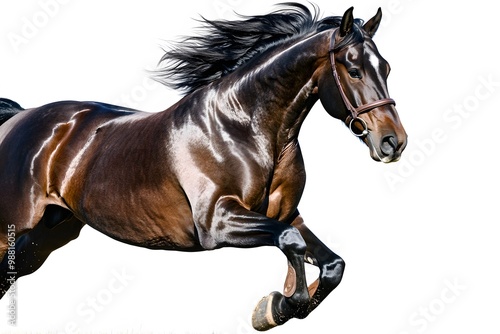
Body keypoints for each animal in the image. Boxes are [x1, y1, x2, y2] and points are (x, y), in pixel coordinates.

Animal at [0, 3, 406, 330]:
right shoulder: (217, 222)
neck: (243, 127)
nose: (393, 142)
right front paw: (278, 305)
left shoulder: (286, 214)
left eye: (386, 68)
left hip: (46, 236)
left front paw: (277, 306)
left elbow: (331, 263)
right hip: (13, 228)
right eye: (353, 70)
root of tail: (19, 117)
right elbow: (291, 243)